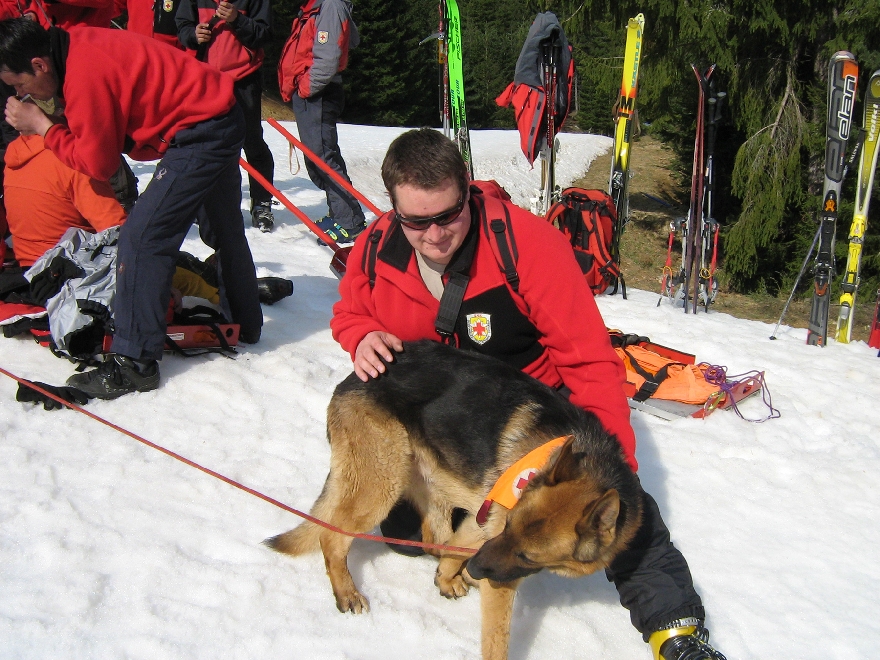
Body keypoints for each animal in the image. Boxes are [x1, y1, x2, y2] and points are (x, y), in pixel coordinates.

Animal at [264, 342, 644, 656]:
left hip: (429, 481)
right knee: (332, 536)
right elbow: (496, 639)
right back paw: (347, 593)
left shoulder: (486, 527)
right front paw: (457, 579)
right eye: (510, 528)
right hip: (383, 484)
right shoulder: (495, 544)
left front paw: (449, 578)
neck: (596, 463)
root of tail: (350, 379)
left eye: (527, 555)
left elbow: (453, 549)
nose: (477, 569)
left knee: (434, 536)